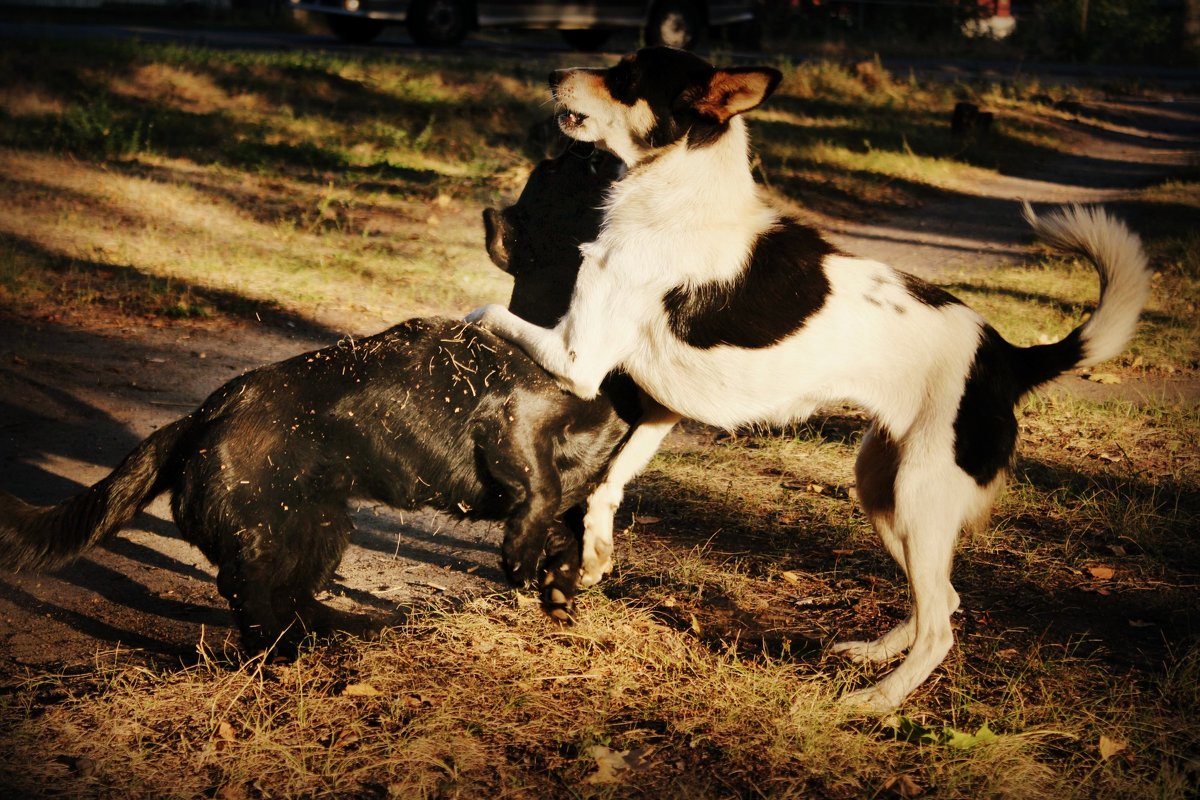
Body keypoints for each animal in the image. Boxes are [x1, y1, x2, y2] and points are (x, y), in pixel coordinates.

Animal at [2, 146, 628, 652]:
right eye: (557, 173)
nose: (588, 147)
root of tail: (202, 416)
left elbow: (570, 532)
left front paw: (560, 586)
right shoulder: (515, 427)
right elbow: (542, 492)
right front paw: (522, 558)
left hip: (322, 529)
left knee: (293, 600)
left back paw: (344, 632)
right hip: (276, 533)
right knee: (253, 598)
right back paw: (286, 656)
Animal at [463, 47, 1147, 710]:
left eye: (626, 76)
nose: (554, 72)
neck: (679, 197)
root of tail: (1005, 354)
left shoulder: (579, 358)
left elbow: (486, 312)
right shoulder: (661, 407)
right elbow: (609, 483)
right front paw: (596, 557)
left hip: (921, 497)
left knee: (940, 627)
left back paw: (877, 700)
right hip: (884, 491)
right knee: (944, 599)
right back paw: (873, 654)